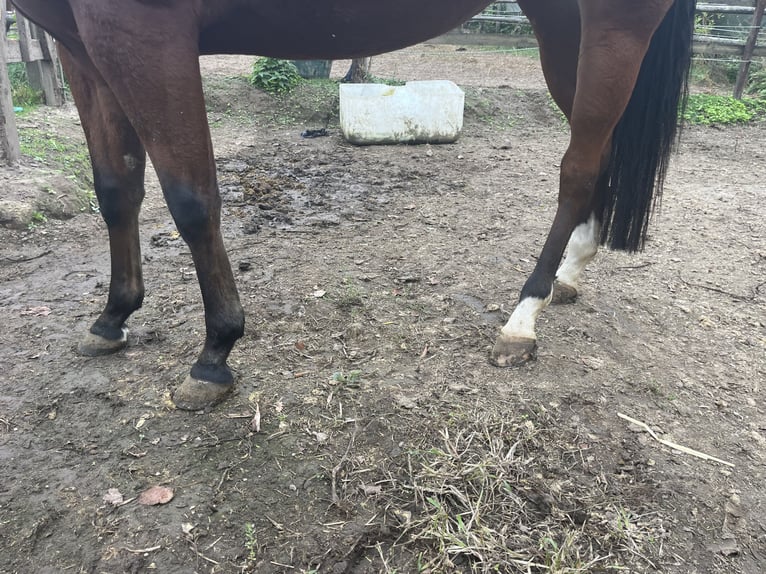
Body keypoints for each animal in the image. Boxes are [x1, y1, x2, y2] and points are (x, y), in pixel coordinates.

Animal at [12, 0, 696, 410]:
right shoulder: (79, 44)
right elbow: (115, 189)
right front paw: (112, 317)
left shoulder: (143, 30)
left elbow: (191, 200)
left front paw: (215, 354)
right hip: (563, 24)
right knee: (599, 155)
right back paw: (567, 277)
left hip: (613, 21)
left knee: (578, 170)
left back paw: (522, 318)